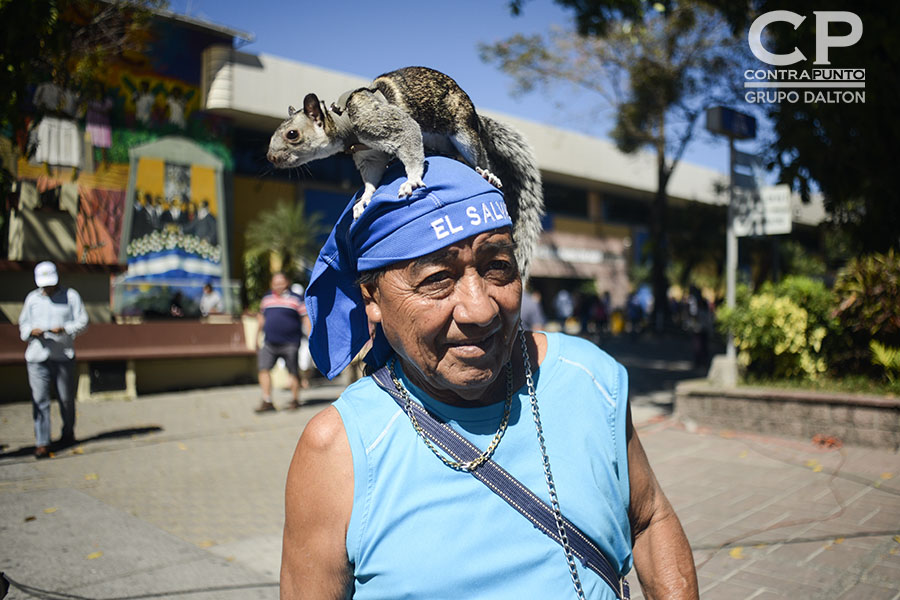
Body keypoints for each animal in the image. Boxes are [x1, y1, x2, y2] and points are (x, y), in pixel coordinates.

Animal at [268, 66, 544, 278]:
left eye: (292, 134)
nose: (271, 158)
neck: (344, 121)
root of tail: (476, 116)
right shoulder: (369, 156)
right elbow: (371, 180)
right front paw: (364, 200)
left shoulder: (383, 123)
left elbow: (409, 137)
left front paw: (411, 180)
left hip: (463, 130)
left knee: (479, 155)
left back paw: (487, 173)